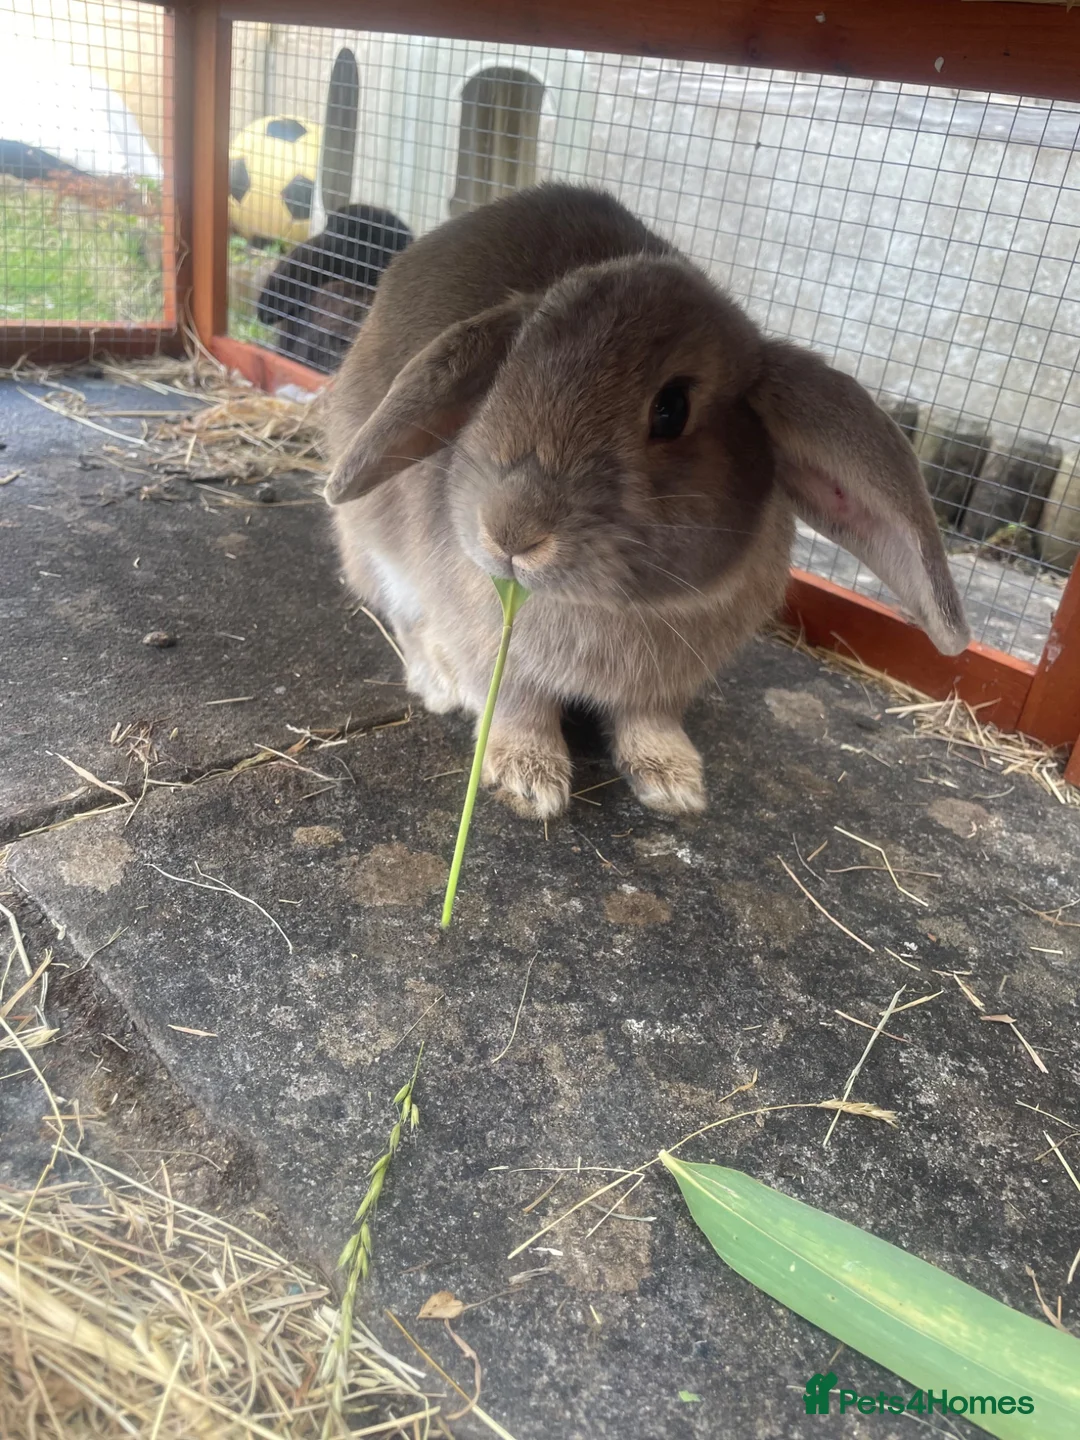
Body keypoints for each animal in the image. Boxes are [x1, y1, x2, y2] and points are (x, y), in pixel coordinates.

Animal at [323, 183, 969, 820]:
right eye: (502, 375)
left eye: (672, 408)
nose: (511, 533)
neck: (604, 606)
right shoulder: (486, 645)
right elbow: (513, 704)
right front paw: (528, 782)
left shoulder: (665, 685)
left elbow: (648, 721)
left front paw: (675, 784)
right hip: (379, 554)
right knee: (403, 619)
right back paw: (440, 684)